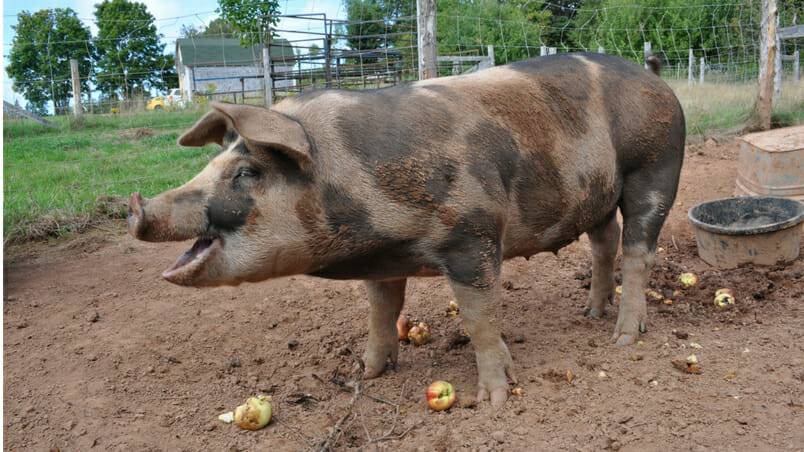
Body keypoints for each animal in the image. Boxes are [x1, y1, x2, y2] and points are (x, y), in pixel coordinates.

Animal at [127, 53, 684, 410]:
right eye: (213, 162)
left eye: (246, 173)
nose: (137, 207)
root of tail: (654, 77)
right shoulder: (382, 262)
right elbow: (381, 313)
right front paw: (365, 373)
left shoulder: (473, 235)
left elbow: (480, 318)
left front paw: (493, 401)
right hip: (597, 195)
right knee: (604, 244)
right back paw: (591, 313)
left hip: (655, 167)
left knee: (639, 248)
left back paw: (623, 337)